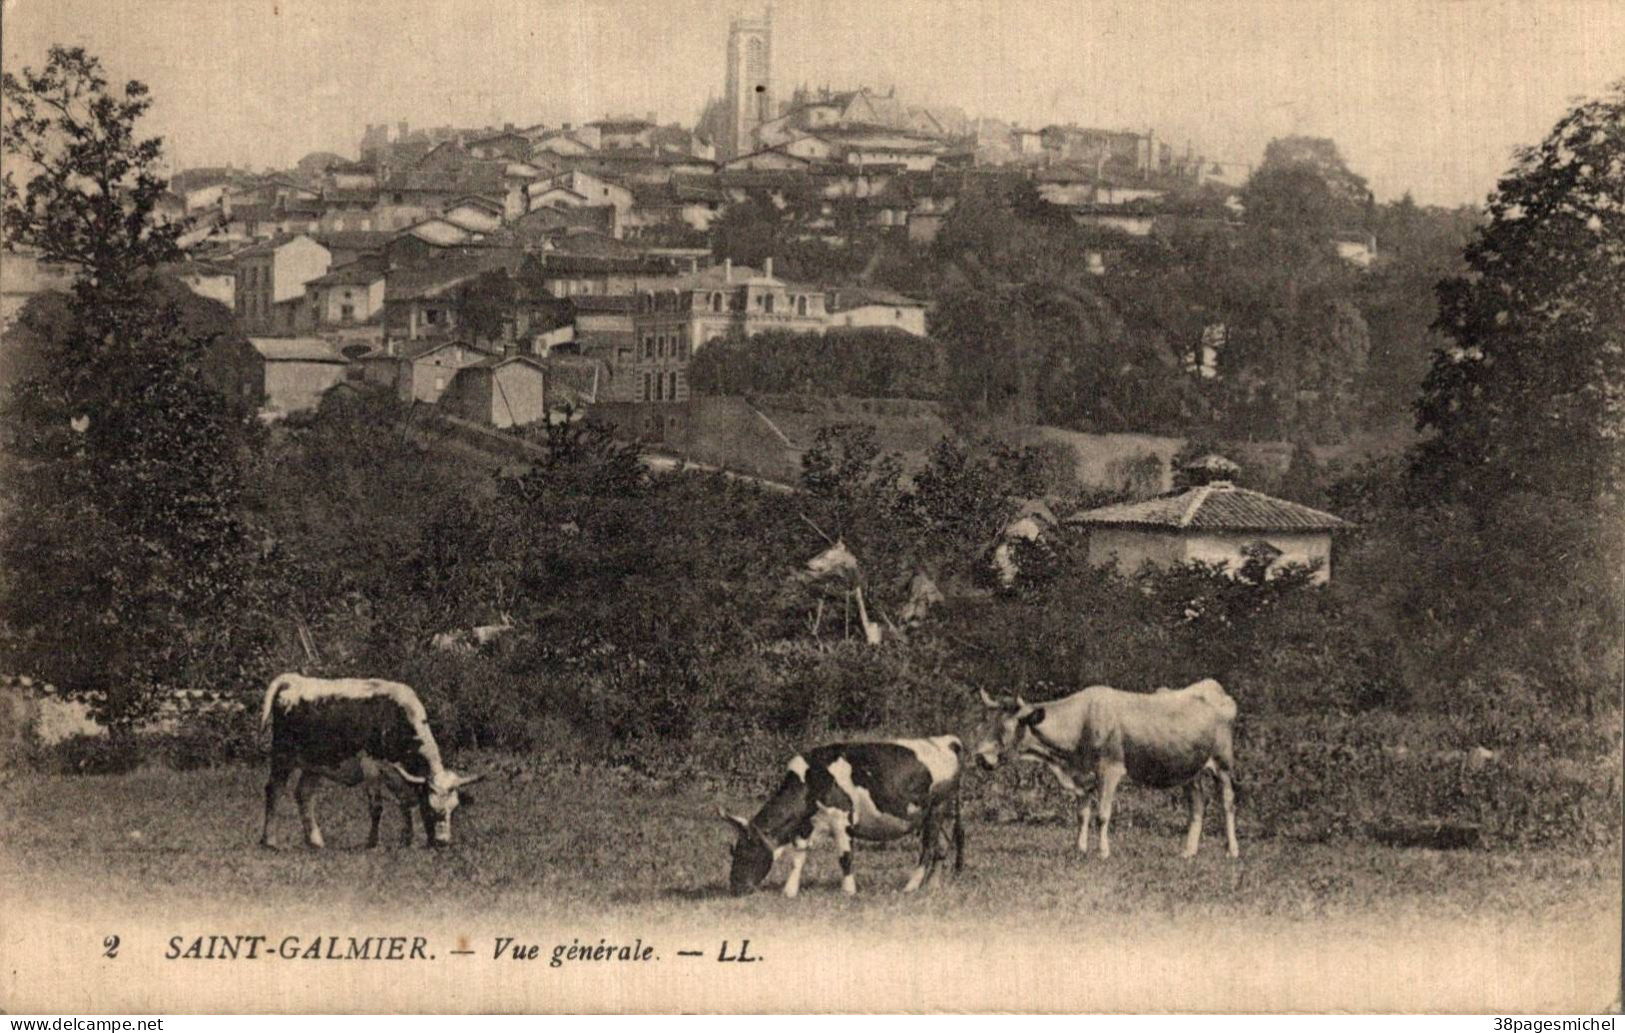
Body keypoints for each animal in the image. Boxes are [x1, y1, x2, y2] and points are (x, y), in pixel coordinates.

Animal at [260, 672, 481, 851]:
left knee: (304, 794)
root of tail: (293, 679)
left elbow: (405, 803)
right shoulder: (371, 766)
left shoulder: (396, 773)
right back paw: (270, 841)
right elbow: (376, 807)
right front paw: (373, 843)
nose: (442, 842)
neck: (396, 717)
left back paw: (315, 842)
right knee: (274, 790)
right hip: (283, 755)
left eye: (454, 808)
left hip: (316, 763)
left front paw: (407, 840)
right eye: (429, 807)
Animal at [715, 734, 962, 896]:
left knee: (928, 848)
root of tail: (946, 740)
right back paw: (932, 886)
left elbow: (845, 857)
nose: (735, 888)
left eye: (746, 852)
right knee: (942, 846)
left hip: (937, 808)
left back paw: (910, 887)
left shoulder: (841, 819)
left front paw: (849, 891)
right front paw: (790, 890)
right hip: (939, 814)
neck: (810, 781)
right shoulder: (806, 825)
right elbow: (799, 857)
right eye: (733, 851)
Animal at [975, 682, 1241, 857]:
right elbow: (1082, 814)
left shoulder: (1109, 769)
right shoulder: (1083, 775)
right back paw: (1188, 852)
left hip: (1223, 763)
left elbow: (1102, 815)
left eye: (1008, 727)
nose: (980, 756)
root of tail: (1214, 688)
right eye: (987, 722)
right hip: (1189, 770)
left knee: (1228, 803)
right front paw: (1080, 849)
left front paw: (1102, 852)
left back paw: (1232, 851)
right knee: (1197, 805)